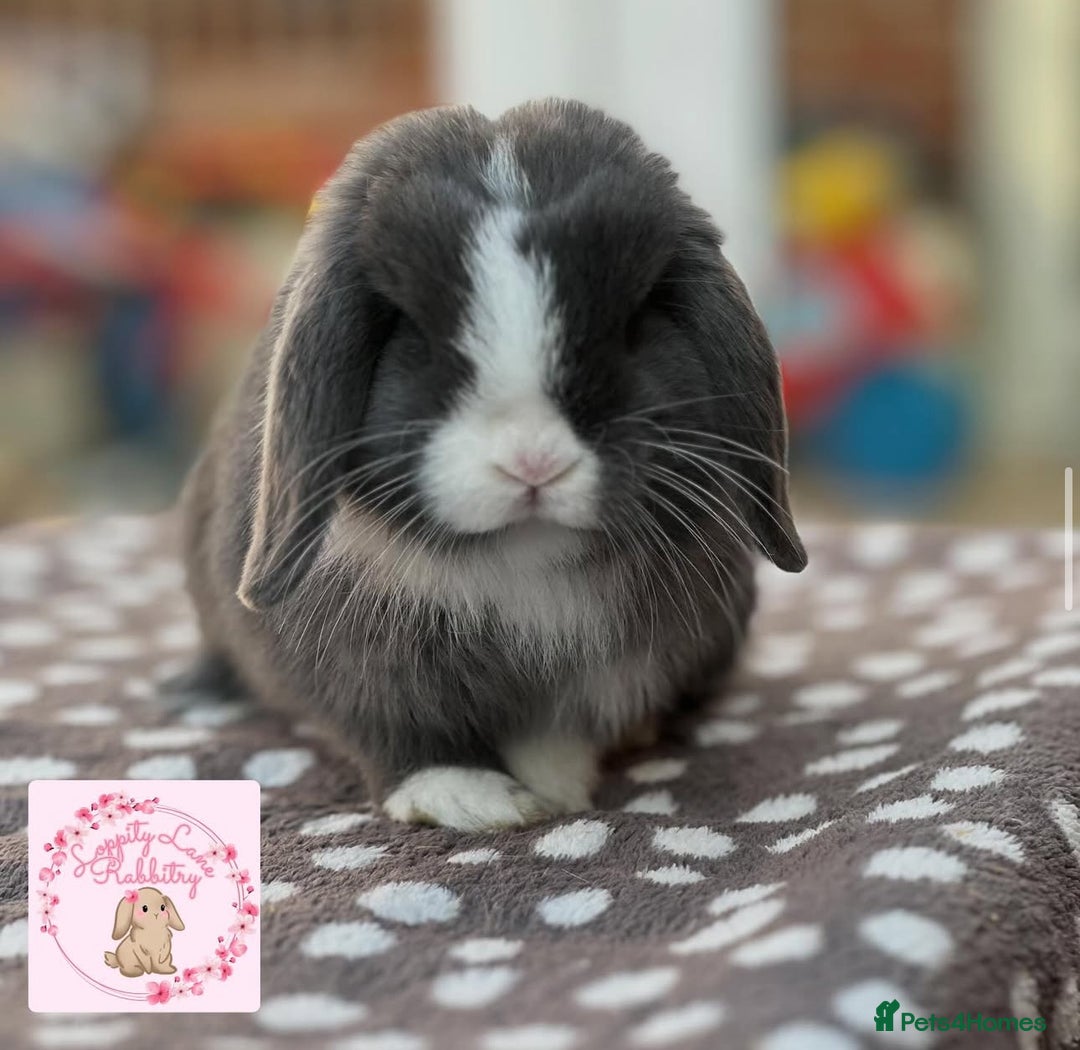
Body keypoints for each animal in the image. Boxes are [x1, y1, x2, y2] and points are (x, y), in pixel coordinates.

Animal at [178, 98, 806, 832]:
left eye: (635, 321)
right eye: (412, 332)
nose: (533, 463)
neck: (522, 557)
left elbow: (560, 731)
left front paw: (555, 790)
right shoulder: (357, 666)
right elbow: (397, 730)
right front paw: (472, 800)